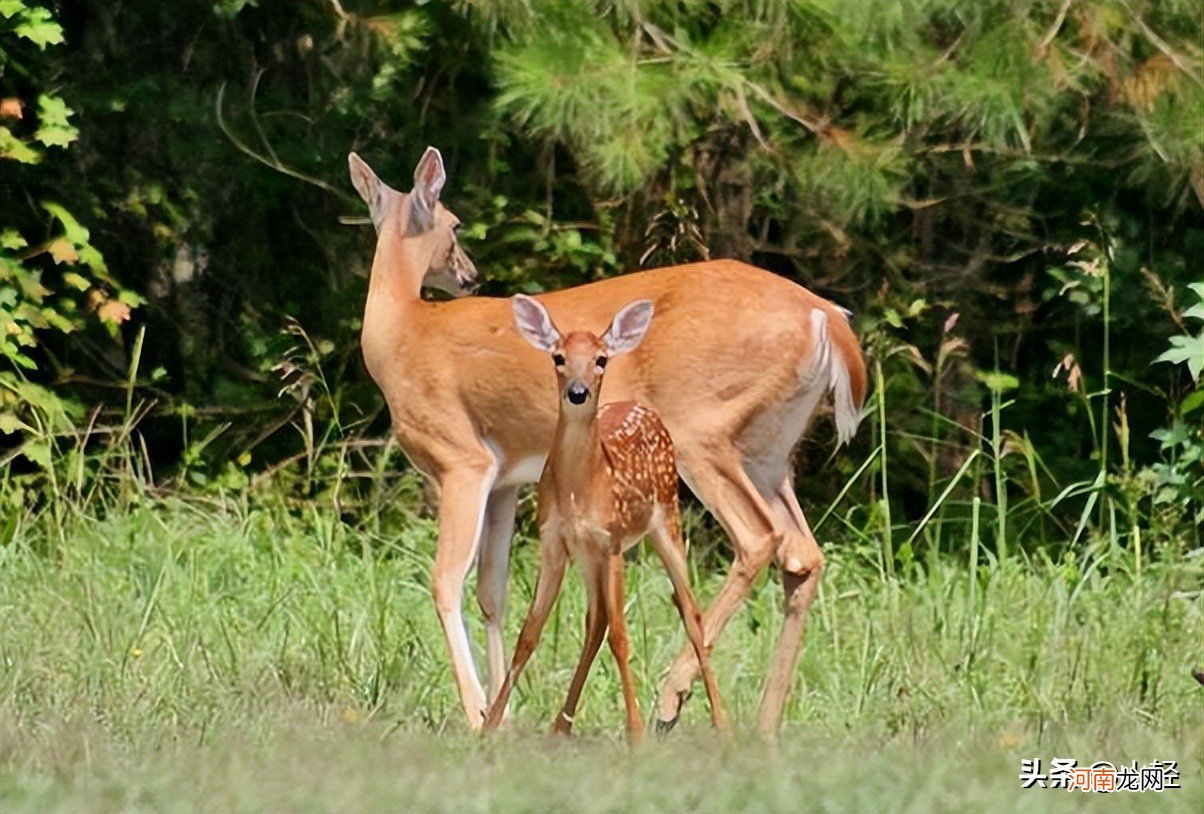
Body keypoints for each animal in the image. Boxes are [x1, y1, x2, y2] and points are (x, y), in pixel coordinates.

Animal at [479, 296, 722, 741]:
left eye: (601, 359)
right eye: (558, 357)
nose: (578, 393)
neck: (580, 491)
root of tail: (642, 407)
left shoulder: (612, 541)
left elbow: (622, 637)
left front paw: (637, 733)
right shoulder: (555, 543)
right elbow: (529, 633)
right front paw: (489, 725)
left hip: (665, 520)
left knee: (690, 612)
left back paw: (723, 722)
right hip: (590, 554)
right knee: (597, 621)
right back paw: (560, 725)